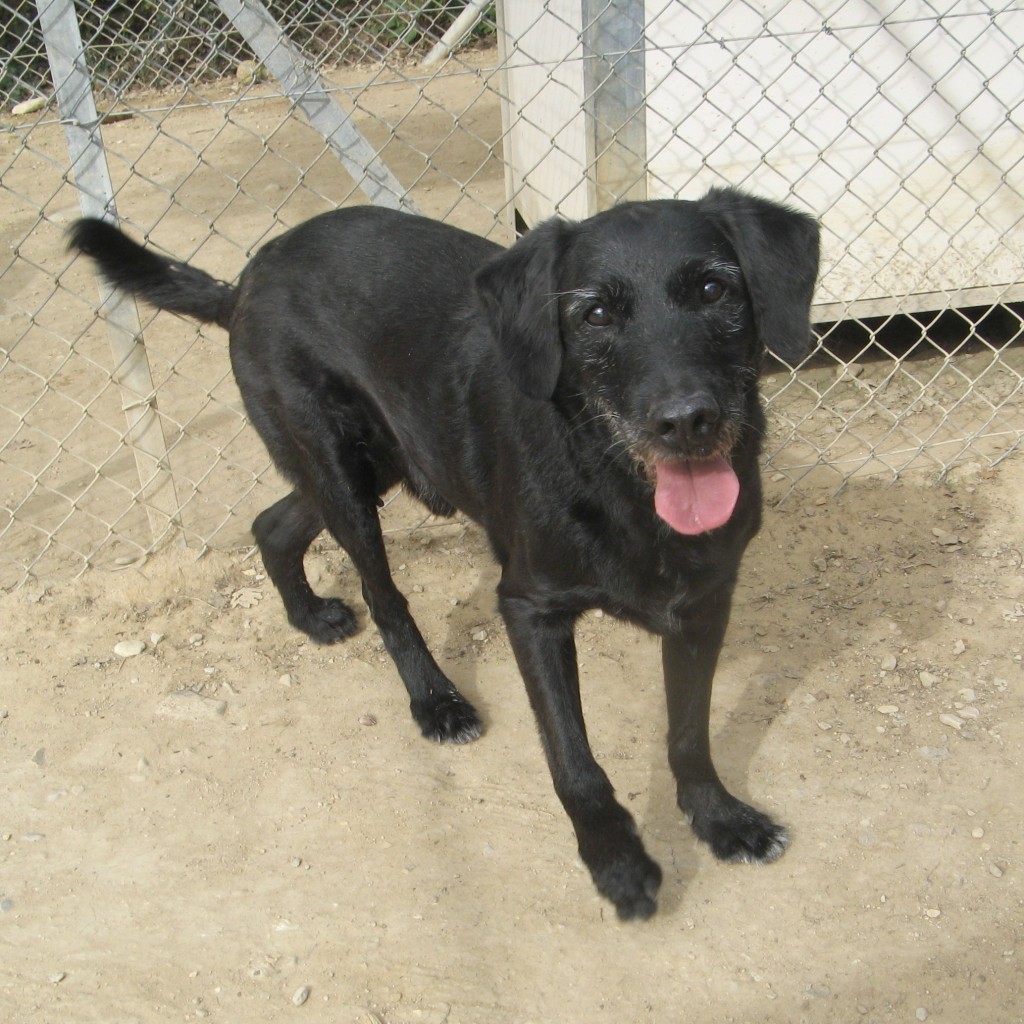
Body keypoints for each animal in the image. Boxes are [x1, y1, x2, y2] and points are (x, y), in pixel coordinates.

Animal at [68, 190, 819, 921]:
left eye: (714, 289)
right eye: (597, 313)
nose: (687, 420)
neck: (619, 486)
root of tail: (247, 278)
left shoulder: (703, 605)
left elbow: (689, 732)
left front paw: (720, 818)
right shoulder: (529, 610)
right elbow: (573, 759)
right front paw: (616, 862)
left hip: (375, 459)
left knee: (272, 524)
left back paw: (309, 615)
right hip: (340, 472)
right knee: (382, 596)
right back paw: (434, 700)